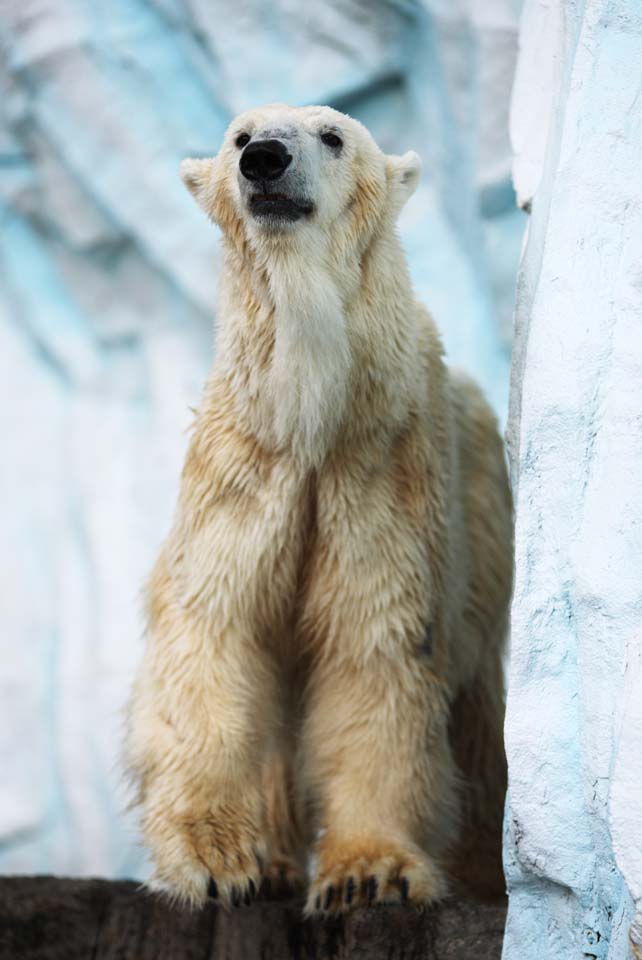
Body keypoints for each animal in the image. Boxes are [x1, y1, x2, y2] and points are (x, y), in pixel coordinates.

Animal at [125, 105, 512, 916]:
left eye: (333, 135)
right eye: (239, 137)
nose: (266, 160)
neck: (312, 413)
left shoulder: (378, 469)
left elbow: (376, 650)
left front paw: (371, 873)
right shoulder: (246, 468)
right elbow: (214, 632)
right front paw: (217, 861)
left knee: (473, 715)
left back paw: (482, 872)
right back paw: (274, 860)